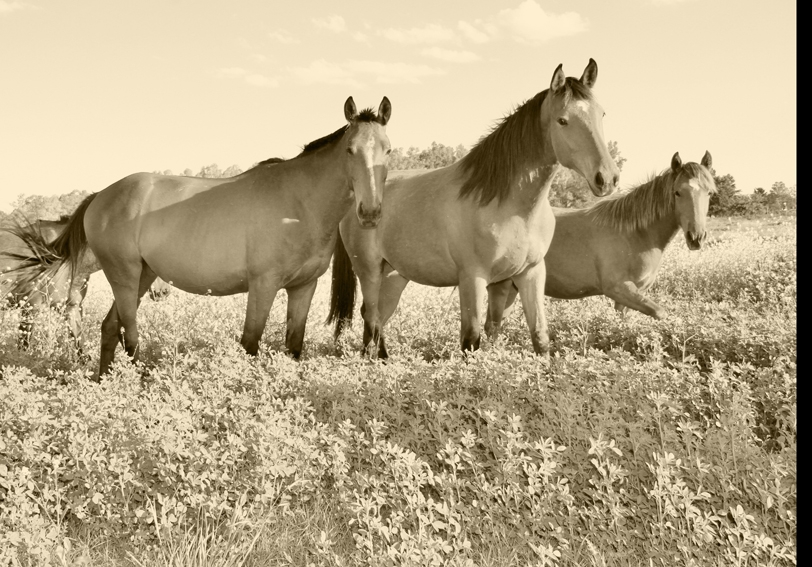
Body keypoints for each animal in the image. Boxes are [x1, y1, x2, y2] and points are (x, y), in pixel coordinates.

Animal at [3, 95, 394, 380]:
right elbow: (250, 344)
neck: (298, 203)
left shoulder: (303, 287)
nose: (370, 212)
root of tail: (100, 195)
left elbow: (294, 347)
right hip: (124, 276)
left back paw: (103, 383)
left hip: (143, 276)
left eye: (387, 149)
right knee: (130, 334)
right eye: (350, 150)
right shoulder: (263, 285)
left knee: (110, 327)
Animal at [326, 58, 620, 360]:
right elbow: (471, 340)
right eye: (563, 120)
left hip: (395, 275)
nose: (607, 178)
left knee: (378, 316)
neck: (509, 206)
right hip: (369, 270)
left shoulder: (530, 274)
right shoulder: (473, 279)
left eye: (602, 114)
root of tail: (360, 200)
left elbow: (540, 338)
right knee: (371, 317)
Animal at [482, 151, 716, 338]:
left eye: (710, 192)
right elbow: (660, 312)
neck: (635, 234)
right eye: (677, 192)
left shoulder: (630, 295)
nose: (696, 237)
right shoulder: (618, 288)